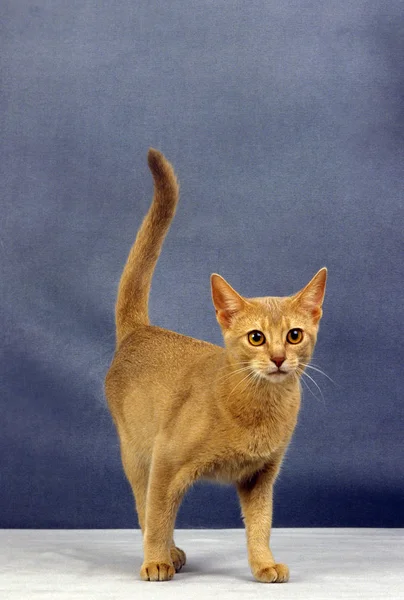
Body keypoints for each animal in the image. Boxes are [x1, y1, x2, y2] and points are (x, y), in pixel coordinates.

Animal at [105, 149, 326, 580]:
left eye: (294, 335)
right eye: (256, 337)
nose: (278, 358)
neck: (259, 407)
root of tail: (141, 330)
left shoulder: (261, 475)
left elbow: (260, 525)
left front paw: (263, 564)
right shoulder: (165, 461)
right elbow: (158, 516)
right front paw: (156, 560)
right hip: (135, 452)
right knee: (144, 508)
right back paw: (165, 554)